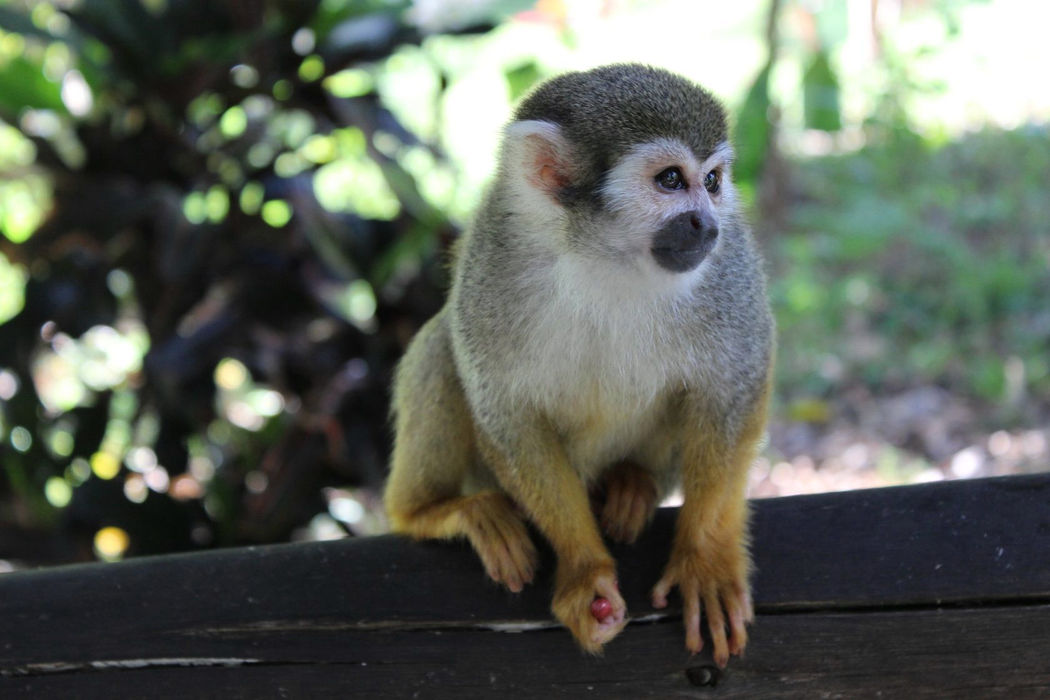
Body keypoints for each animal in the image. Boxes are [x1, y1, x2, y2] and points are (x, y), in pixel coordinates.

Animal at [384, 63, 774, 667]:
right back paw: (430, 511)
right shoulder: (493, 260)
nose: (706, 225)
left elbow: (733, 385)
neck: (606, 259)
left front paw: (704, 560)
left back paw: (633, 482)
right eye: (670, 180)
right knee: (440, 345)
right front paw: (586, 575)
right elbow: (507, 412)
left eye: (712, 181)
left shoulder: (727, 263)